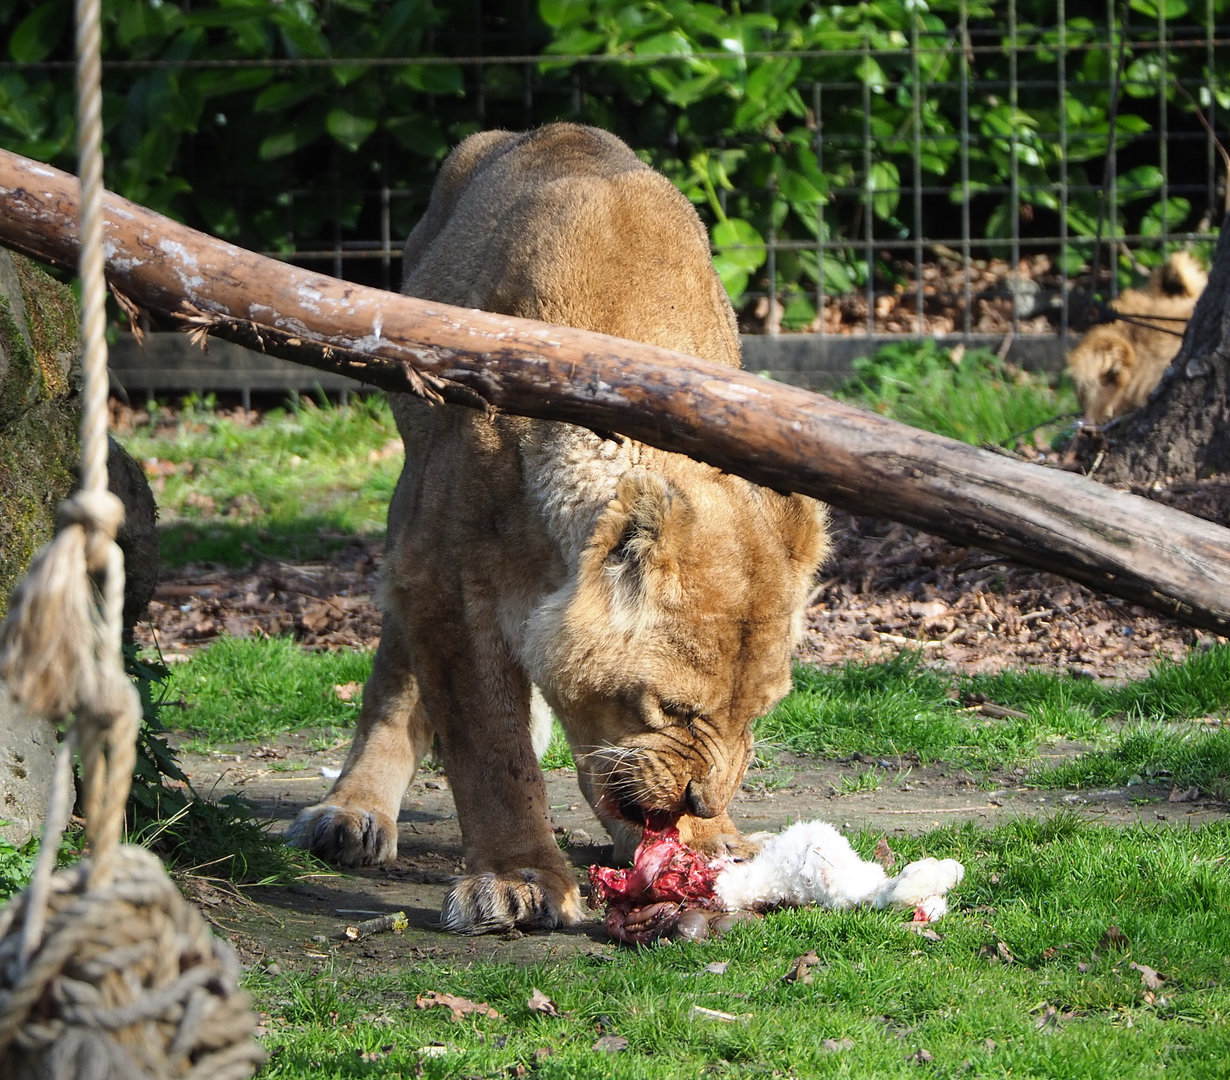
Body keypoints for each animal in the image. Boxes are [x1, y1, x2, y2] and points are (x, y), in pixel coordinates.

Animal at [285, 123, 830, 934]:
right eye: (672, 708)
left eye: (758, 711)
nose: (703, 802)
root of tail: (539, 130)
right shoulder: (447, 581)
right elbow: (490, 746)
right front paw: (517, 878)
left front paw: (705, 846)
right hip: (411, 497)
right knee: (395, 672)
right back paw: (351, 812)